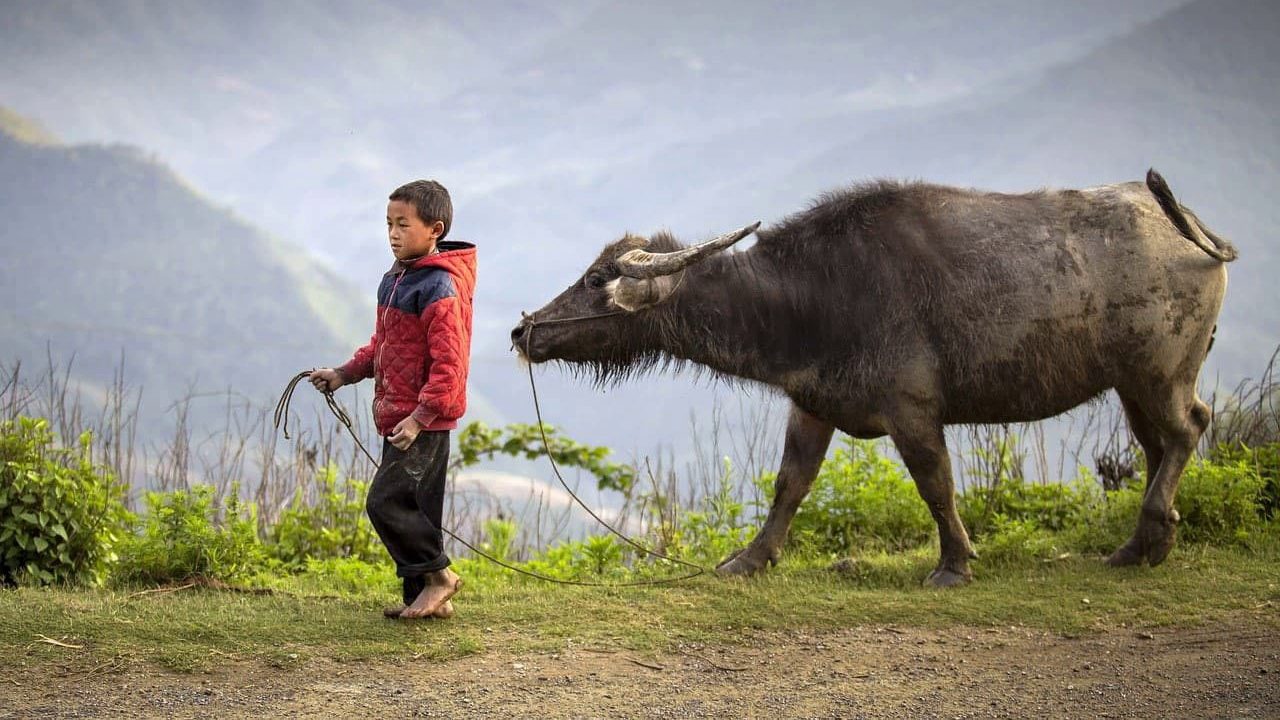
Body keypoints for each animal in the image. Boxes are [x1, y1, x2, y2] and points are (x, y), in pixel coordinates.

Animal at [512, 170, 1239, 586]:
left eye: (597, 279)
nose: (524, 331)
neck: (813, 296)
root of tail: (1186, 226)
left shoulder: (912, 410)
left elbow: (936, 485)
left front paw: (953, 565)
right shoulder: (812, 404)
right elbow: (789, 485)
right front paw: (748, 560)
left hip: (1160, 372)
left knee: (1188, 429)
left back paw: (1151, 533)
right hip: (1132, 382)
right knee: (1160, 443)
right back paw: (1139, 546)